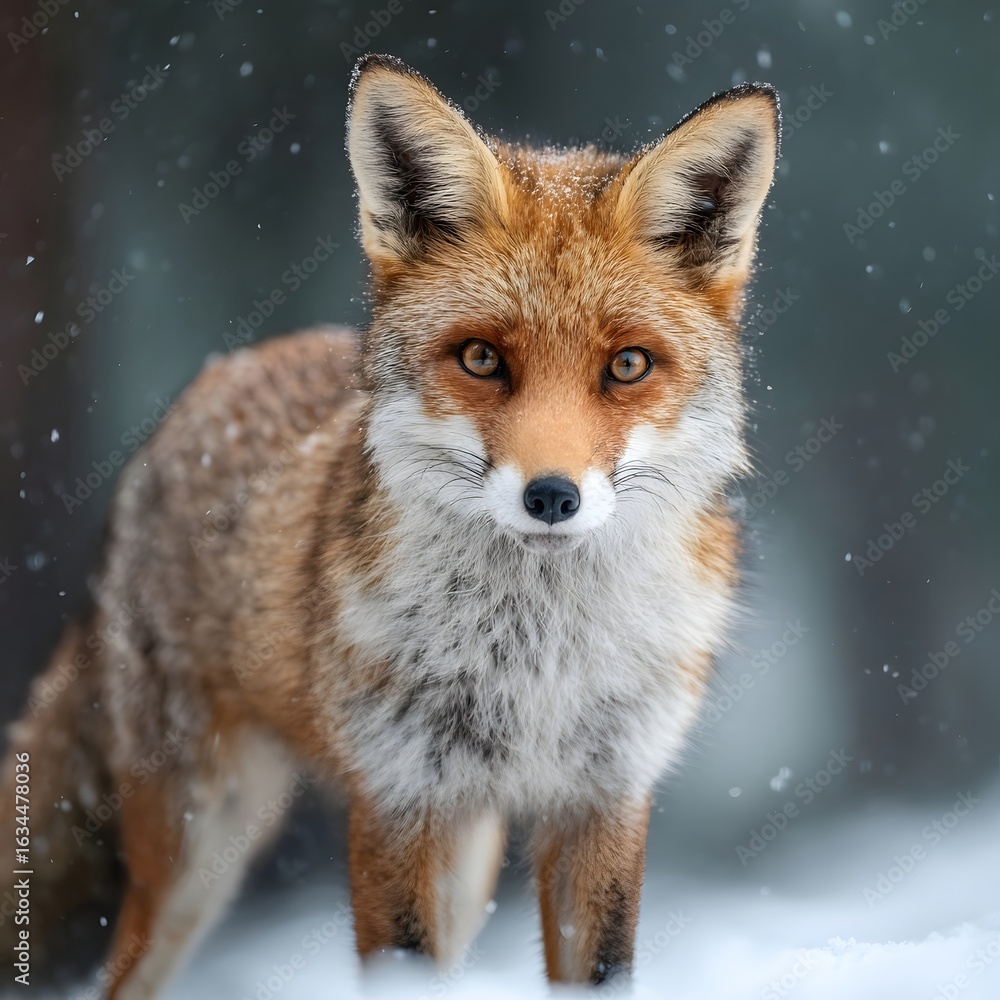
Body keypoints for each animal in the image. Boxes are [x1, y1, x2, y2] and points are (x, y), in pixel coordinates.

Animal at [0, 54, 779, 996]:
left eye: (627, 365)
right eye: (481, 358)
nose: (552, 496)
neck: (536, 665)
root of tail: (214, 379)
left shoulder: (605, 798)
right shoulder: (399, 795)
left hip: (466, 858)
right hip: (200, 845)